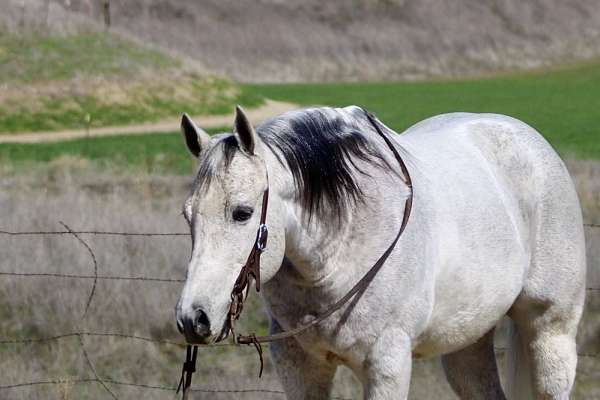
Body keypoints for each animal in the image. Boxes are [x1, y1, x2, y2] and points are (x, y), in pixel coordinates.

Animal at [175, 106, 584, 400]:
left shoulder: (387, 363)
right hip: (467, 338)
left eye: (242, 213)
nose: (193, 319)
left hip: (550, 330)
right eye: (187, 215)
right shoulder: (299, 365)